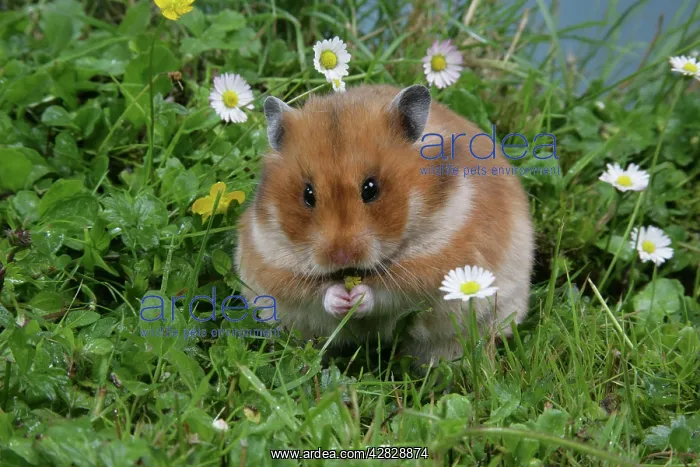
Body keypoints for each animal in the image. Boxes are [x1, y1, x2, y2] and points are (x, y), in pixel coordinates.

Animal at [234, 84, 534, 367]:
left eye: (371, 189)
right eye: (308, 195)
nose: (340, 256)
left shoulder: (436, 263)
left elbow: (387, 290)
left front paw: (357, 297)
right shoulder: (269, 261)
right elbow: (314, 292)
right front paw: (341, 298)